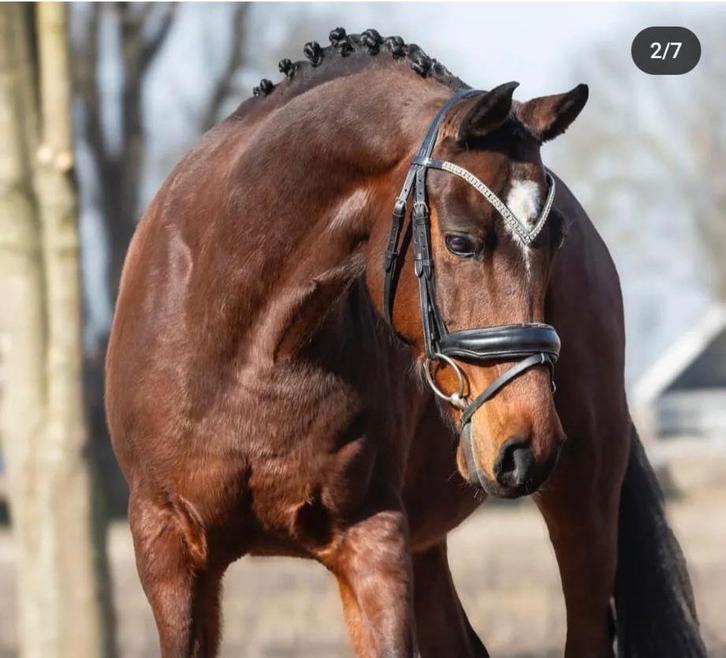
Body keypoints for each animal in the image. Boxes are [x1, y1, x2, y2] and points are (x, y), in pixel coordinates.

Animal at [105, 28, 705, 658]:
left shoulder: (372, 538)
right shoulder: (169, 553)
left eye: (555, 240)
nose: (529, 446)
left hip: (582, 499)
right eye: (462, 242)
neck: (244, 352)